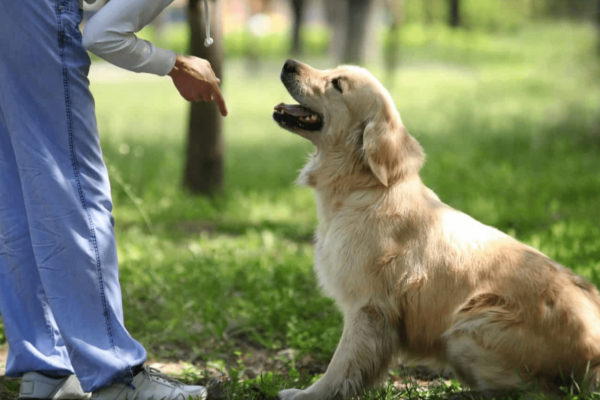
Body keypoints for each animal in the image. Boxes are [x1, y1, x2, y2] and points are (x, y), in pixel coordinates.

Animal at [274, 59, 600, 400]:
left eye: (337, 84)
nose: (289, 63)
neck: (364, 188)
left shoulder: (368, 307)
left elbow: (341, 366)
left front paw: (307, 394)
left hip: (468, 325)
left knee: (535, 390)